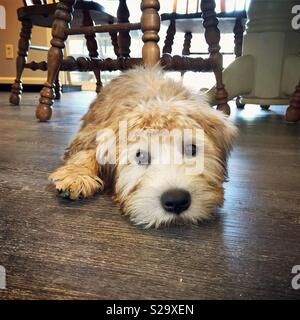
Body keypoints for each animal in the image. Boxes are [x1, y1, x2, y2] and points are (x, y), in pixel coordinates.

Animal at [49, 67, 237, 228]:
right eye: (140, 156)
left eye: (192, 149)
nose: (176, 201)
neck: (156, 100)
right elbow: (87, 153)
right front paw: (76, 177)